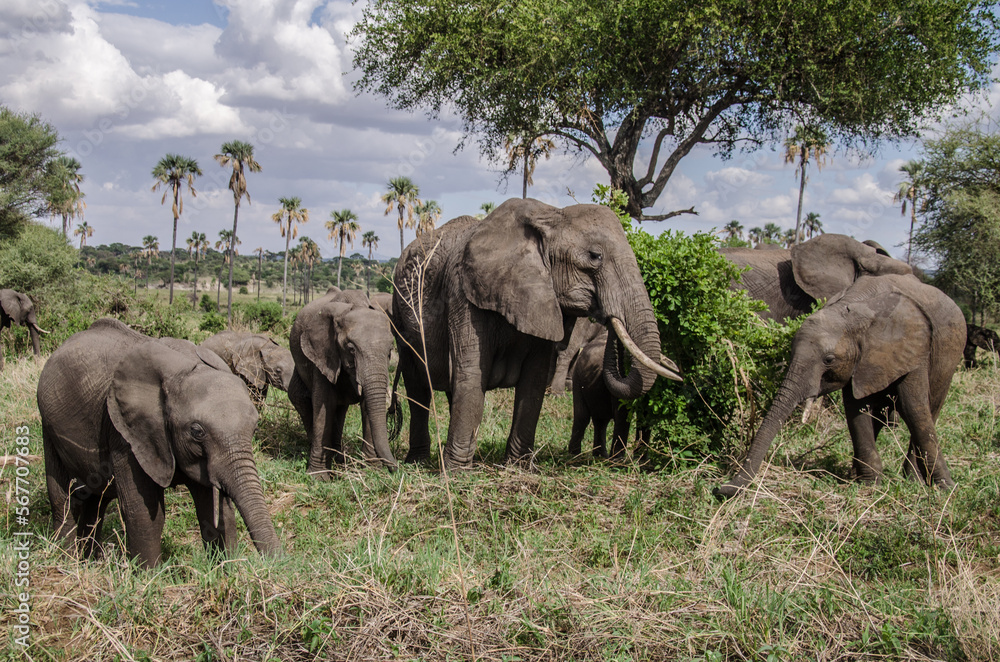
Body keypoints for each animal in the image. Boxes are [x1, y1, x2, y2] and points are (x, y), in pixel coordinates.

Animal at [36, 318, 282, 568]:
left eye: (254, 429)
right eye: (197, 431)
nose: (278, 563)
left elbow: (210, 506)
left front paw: (225, 569)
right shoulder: (126, 433)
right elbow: (144, 513)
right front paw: (148, 574)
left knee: (96, 499)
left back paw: (89, 561)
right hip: (48, 424)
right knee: (62, 498)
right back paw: (66, 560)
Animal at [288, 288, 397, 477]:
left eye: (390, 350)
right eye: (351, 349)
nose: (395, 467)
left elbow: (367, 407)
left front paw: (372, 471)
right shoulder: (323, 353)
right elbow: (323, 406)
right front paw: (318, 477)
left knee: (340, 410)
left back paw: (338, 460)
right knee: (299, 397)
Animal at [392, 198, 681, 469]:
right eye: (594, 256)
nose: (608, 315)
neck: (551, 215)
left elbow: (533, 382)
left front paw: (518, 467)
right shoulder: (463, 295)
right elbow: (471, 374)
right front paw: (457, 473)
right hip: (400, 317)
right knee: (417, 389)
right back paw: (418, 461)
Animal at [714, 273, 966, 499]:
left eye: (829, 359)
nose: (721, 489)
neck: (856, 307)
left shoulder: (912, 348)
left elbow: (913, 409)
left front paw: (946, 489)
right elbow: (857, 410)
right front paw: (870, 485)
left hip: (949, 361)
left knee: (930, 409)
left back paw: (913, 479)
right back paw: (857, 473)